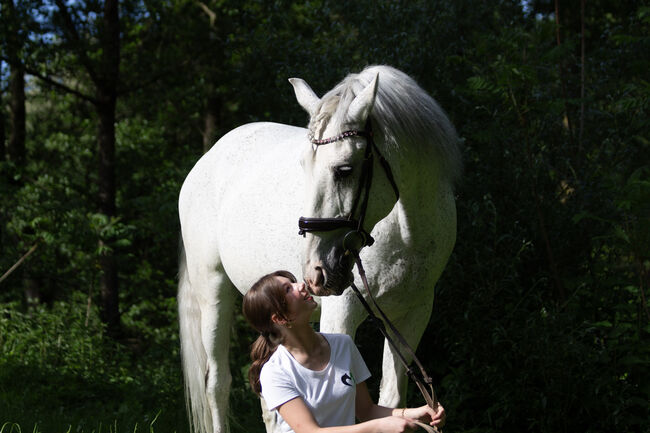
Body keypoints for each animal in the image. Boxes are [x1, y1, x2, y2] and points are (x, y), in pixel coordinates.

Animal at [177, 65, 460, 432]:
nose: (316, 270)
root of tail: (208, 158)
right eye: (303, 166)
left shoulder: (413, 314)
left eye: (344, 170)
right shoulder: (341, 312)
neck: (406, 231)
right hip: (213, 292)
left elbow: (392, 397)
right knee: (217, 384)